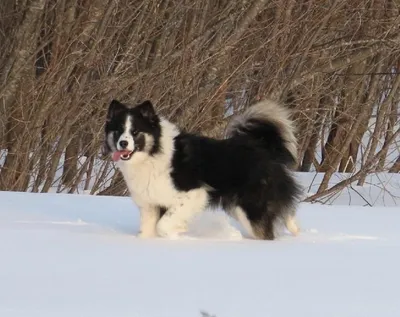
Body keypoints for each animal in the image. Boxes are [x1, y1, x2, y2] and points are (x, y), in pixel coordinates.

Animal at [102, 97, 300, 238]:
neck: (153, 153)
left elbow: (163, 225)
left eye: (135, 131)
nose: (123, 143)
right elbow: (147, 232)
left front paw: (179, 230)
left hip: (252, 208)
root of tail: (264, 147)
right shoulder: (150, 205)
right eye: (118, 131)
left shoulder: (194, 193)